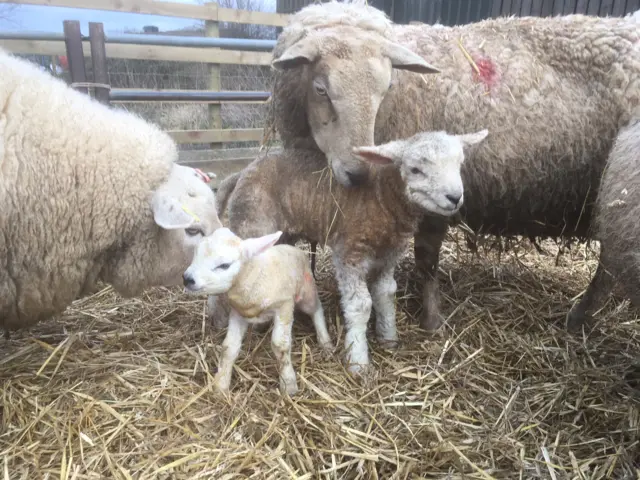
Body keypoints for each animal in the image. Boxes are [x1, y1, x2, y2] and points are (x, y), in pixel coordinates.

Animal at [182, 227, 332, 396]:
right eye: (196, 253)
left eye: (224, 265)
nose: (187, 279)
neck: (253, 275)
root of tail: (296, 249)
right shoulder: (237, 313)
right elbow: (229, 347)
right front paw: (220, 385)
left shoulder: (284, 305)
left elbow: (280, 346)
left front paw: (289, 385)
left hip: (306, 292)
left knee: (316, 309)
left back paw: (325, 341)